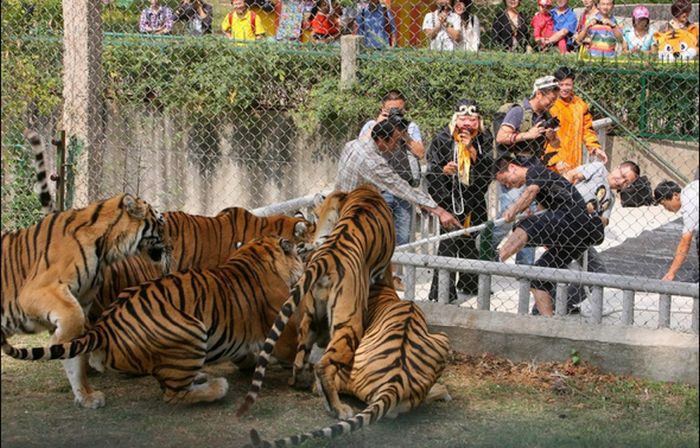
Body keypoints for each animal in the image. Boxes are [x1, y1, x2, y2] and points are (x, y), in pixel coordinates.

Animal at [1, 192, 169, 410]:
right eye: (161, 222)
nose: (170, 245)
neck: (106, 249)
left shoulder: (81, 301)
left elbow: (76, 358)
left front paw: (86, 396)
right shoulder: (37, 291)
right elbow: (74, 322)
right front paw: (56, 343)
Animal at [2, 236, 304, 404]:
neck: (257, 253)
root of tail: (105, 329)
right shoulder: (283, 330)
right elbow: (299, 351)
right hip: (191, 331)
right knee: (174, 394)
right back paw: (216, 386)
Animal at [238, 183, 396, 420]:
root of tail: (326, 258)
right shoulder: (384, 265)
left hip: (310, 318)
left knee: (299, 358)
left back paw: (299, 382)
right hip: (350, 322)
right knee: (323, 365)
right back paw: (339, 408)